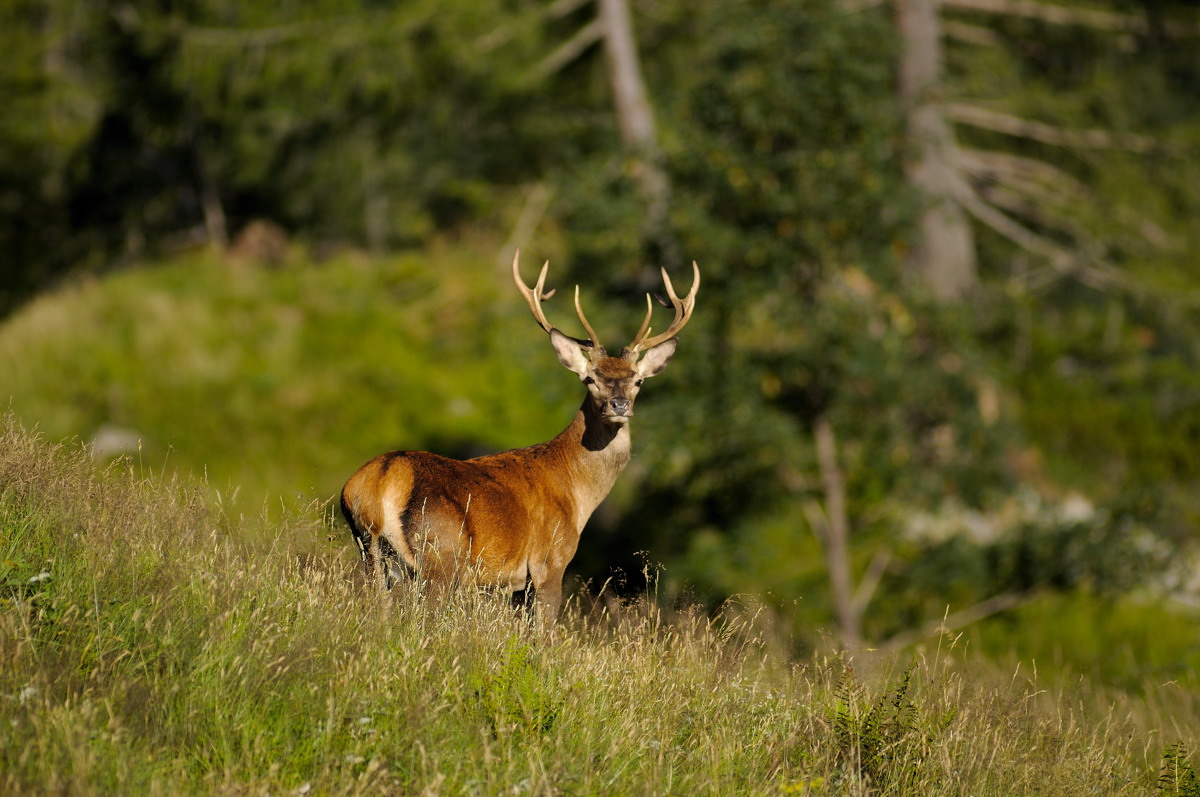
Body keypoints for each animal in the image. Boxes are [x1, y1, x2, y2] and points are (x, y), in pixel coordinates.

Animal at [340, 251, 699, 625]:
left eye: (637, 380)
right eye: (590, 378)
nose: (619, 404)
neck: (577, 491)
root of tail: (379, 481)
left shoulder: (515, 585)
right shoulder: (550, 561)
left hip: (371, 554)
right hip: (440, 556)